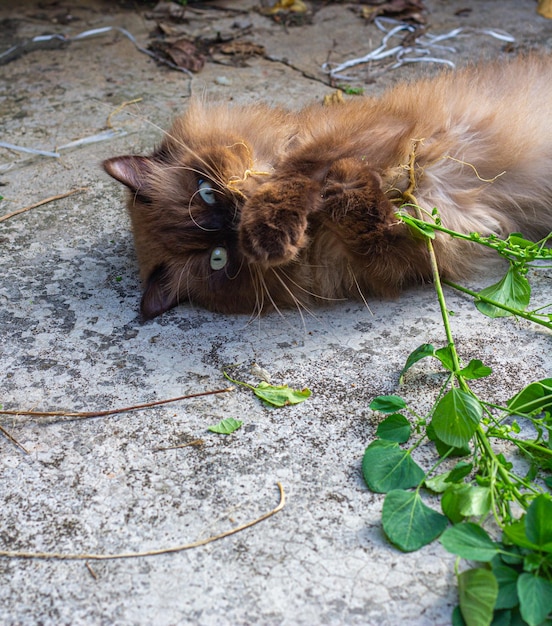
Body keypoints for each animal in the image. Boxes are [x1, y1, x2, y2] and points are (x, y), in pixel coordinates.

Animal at [102, 50, 552, 316]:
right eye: (218, 259)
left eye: (206, 191)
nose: (236, 217)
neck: (316, 232)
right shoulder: (409, 253)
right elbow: (370, 222)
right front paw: (346, 189)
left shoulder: (352, 138)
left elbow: (301, 169)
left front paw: (276, 221)